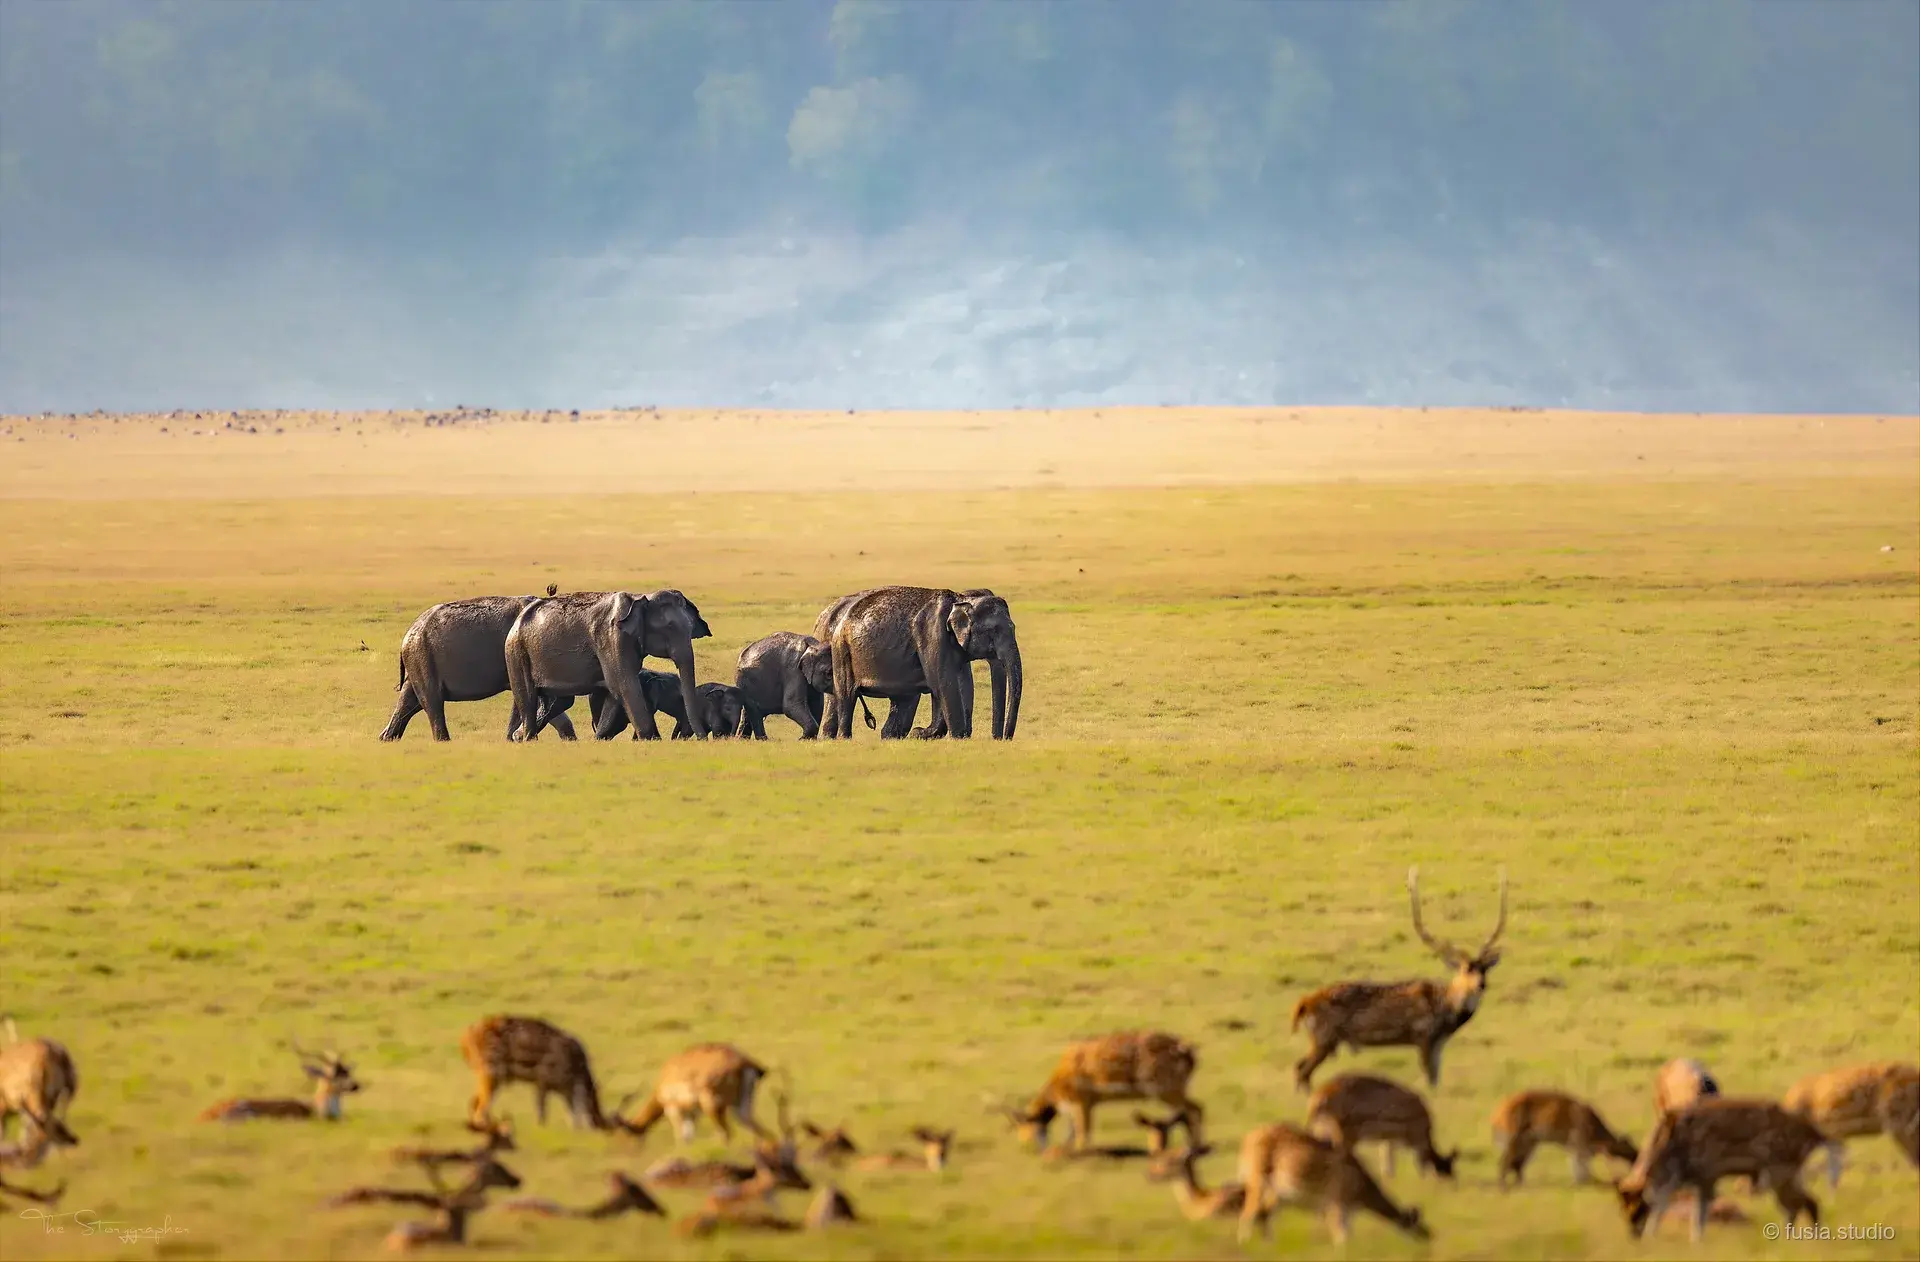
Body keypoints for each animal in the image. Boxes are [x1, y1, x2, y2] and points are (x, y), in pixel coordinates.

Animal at [379, 595, 580, 742]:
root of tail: (409, 633)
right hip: (422, 657)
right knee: (431, 700)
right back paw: (442, 741)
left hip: (419, 658)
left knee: (410, 699)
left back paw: (386, 738)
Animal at [503, 590, 712, 741]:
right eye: (669, 627)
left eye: (691, 629)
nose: (703, 739)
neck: (640, 598)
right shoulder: (612, 638)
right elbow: (623, 685)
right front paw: (651, 739)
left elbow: (614, 692)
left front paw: (600, 737)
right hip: (516, 651)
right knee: (528, 698)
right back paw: (527, 738)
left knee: (554, 701)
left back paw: (519, 736)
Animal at [812, 587, 1022, 741]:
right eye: (993, 631)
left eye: (1013, 627)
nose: (1000, 737)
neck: (960, 598)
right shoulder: (932, 636)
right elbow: (943, 683)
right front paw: (953, 737)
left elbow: (962, 683)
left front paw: (924, 733)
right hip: (841, 649)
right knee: (846, 694)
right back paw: (843, 738)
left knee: (902, 698)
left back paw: (887, 736)